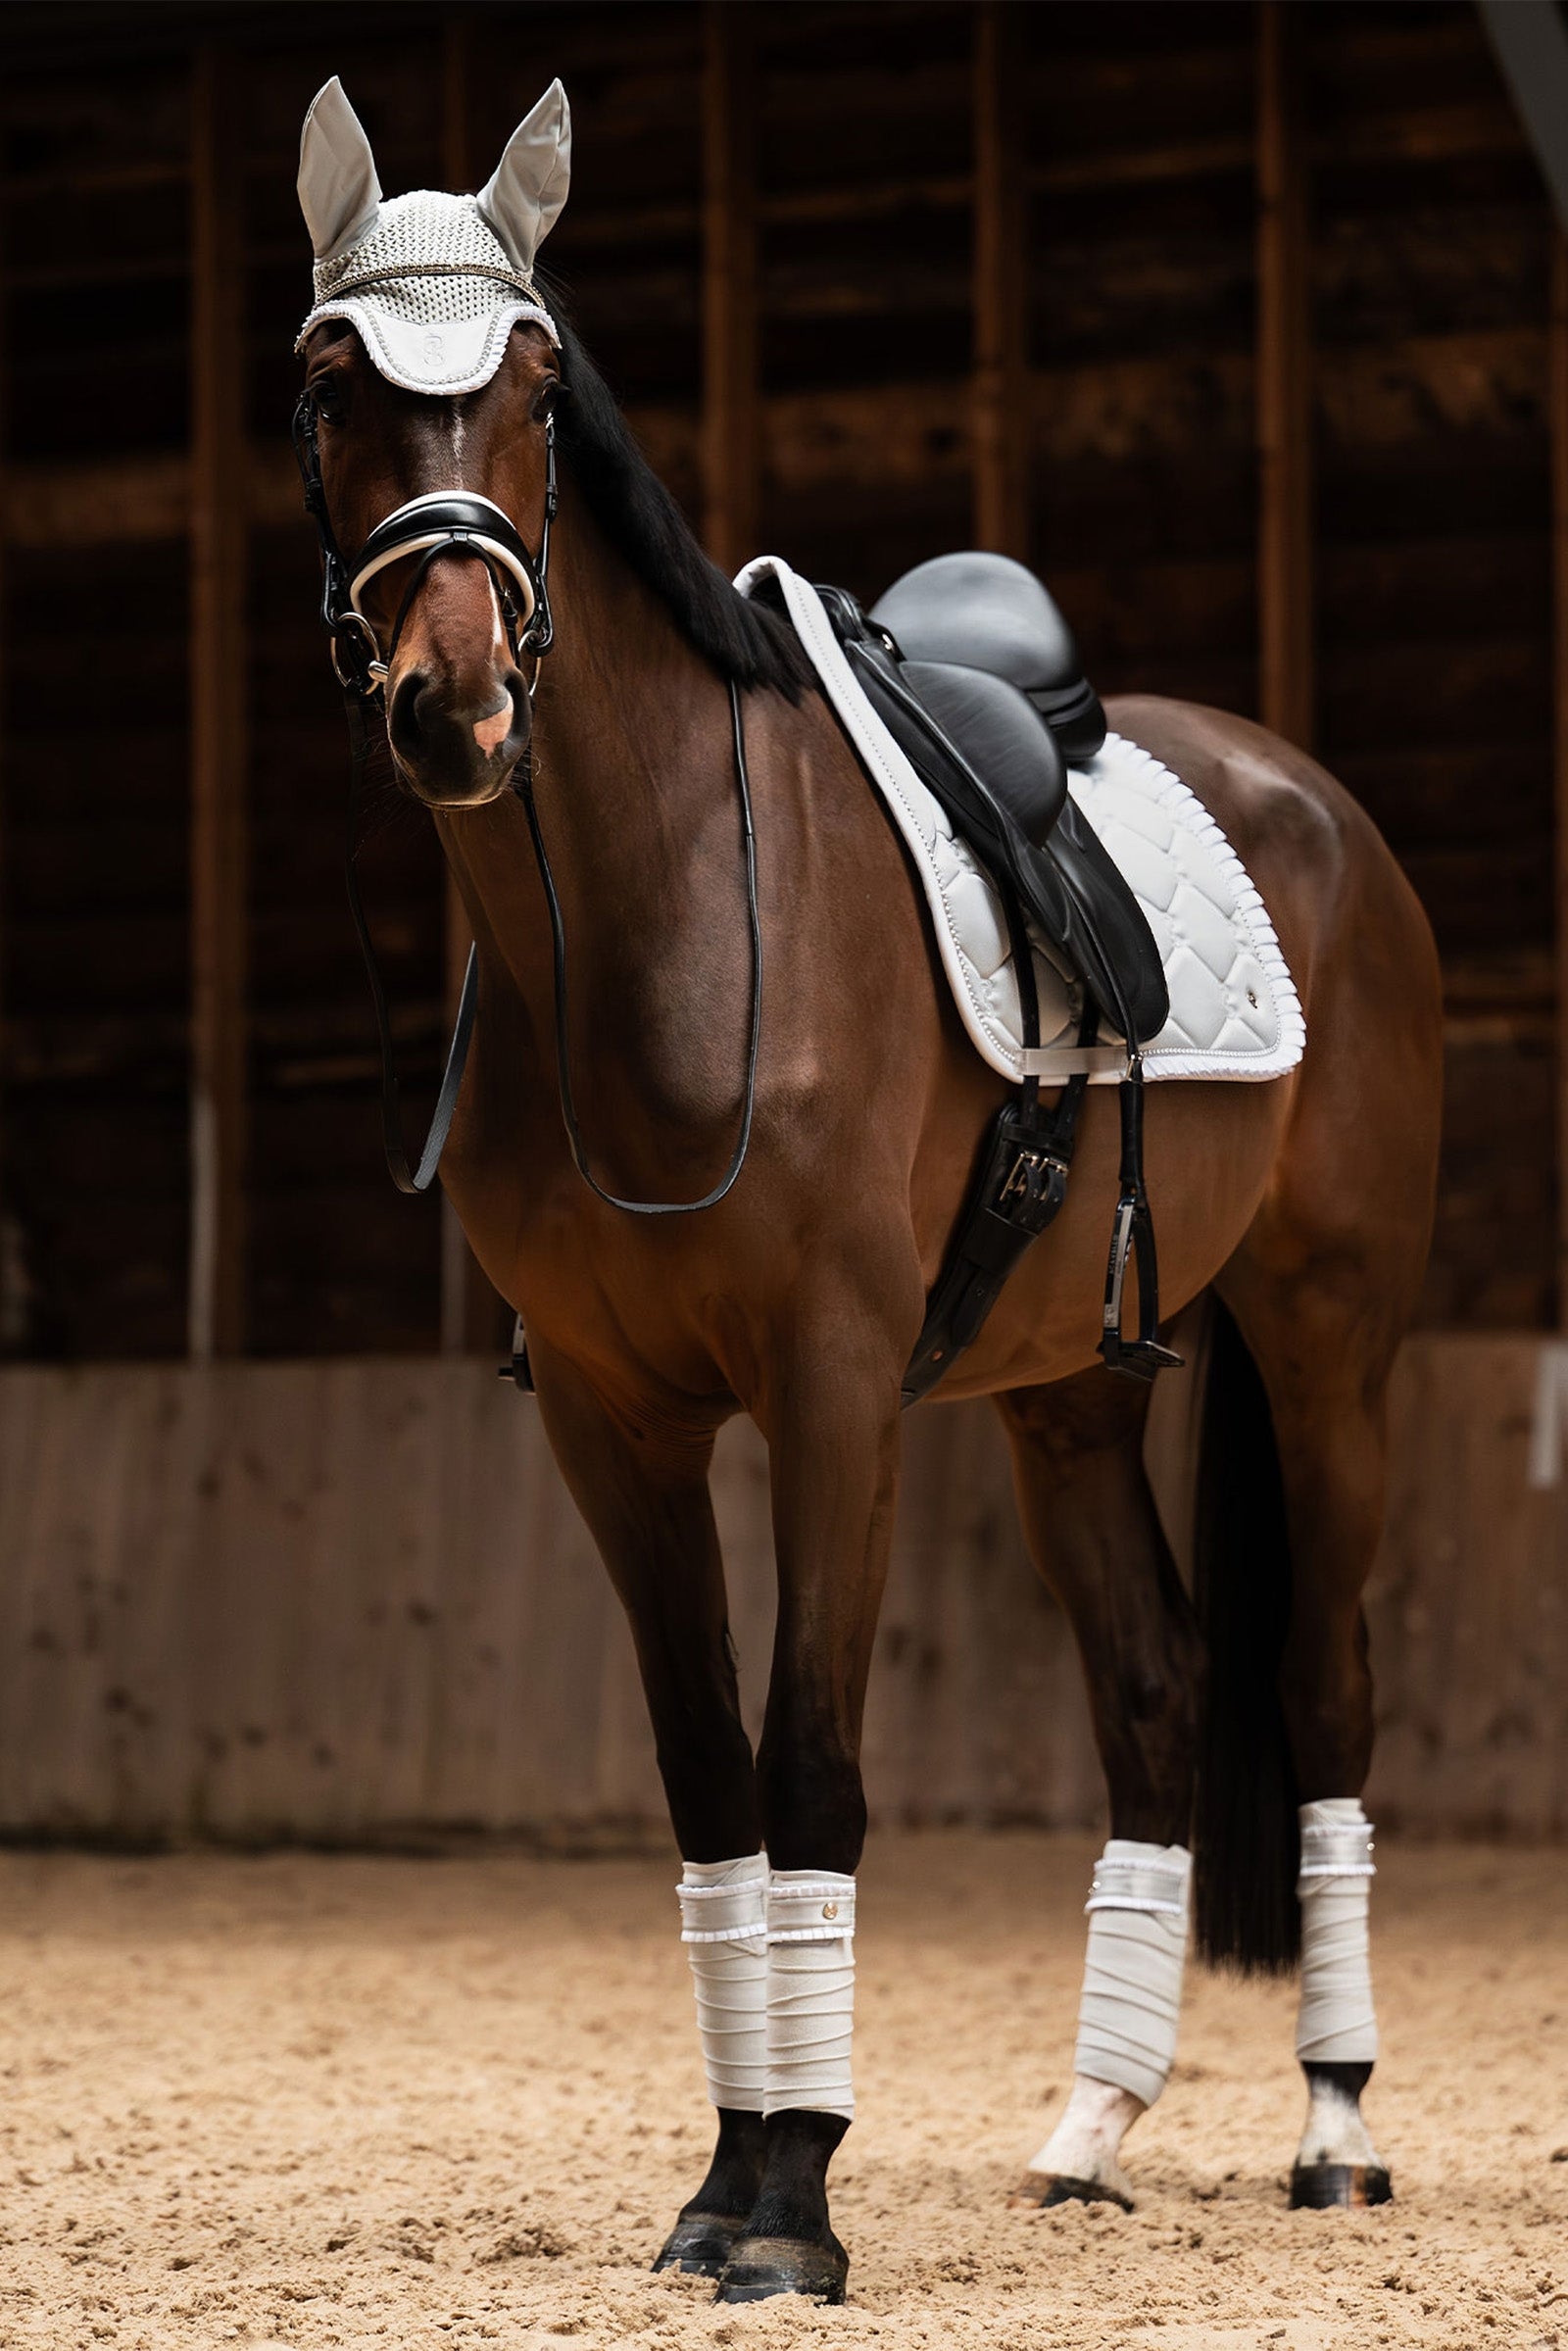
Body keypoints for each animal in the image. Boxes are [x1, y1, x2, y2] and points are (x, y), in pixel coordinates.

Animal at [292, 79, 1443, 2306]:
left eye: (537, 386)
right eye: (326, 386)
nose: (455, 699)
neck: (658, 915)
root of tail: (1311, 800)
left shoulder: (829, 1390)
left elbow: (812, 1762)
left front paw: (798, 2204)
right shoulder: (613, 1418)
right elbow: (709, 1786)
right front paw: (726, 2176)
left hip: (1332, 1332)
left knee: (1323, 1688)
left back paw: (1337, 2125)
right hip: (1069, 1391)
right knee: (1157, 1694)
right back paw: (1090, 2129)